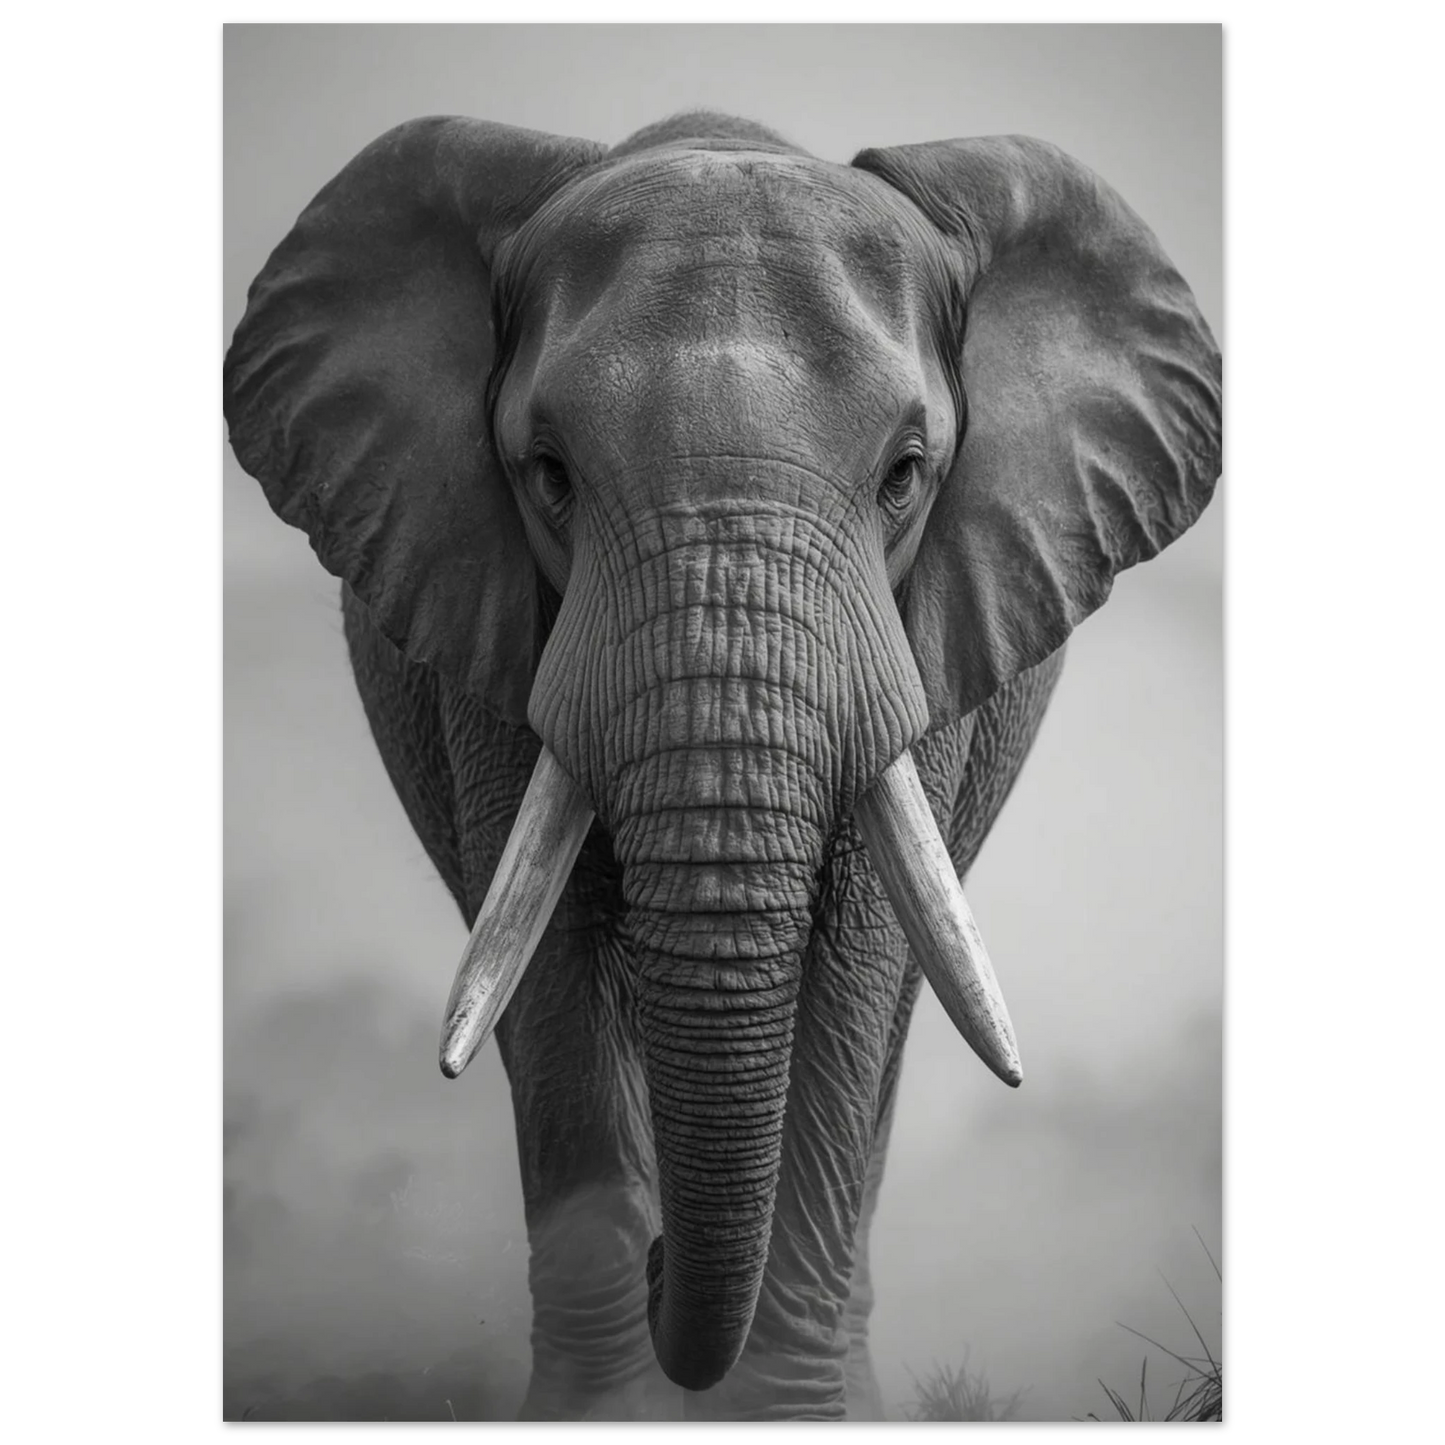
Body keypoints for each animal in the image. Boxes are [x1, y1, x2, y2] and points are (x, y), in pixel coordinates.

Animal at [222, 109, 1221, 1422]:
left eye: (905, 474)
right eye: (547, 472)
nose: (661, 1263)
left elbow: (851, 977)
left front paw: (786, 1414)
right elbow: (547, 974)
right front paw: (601, 1413)